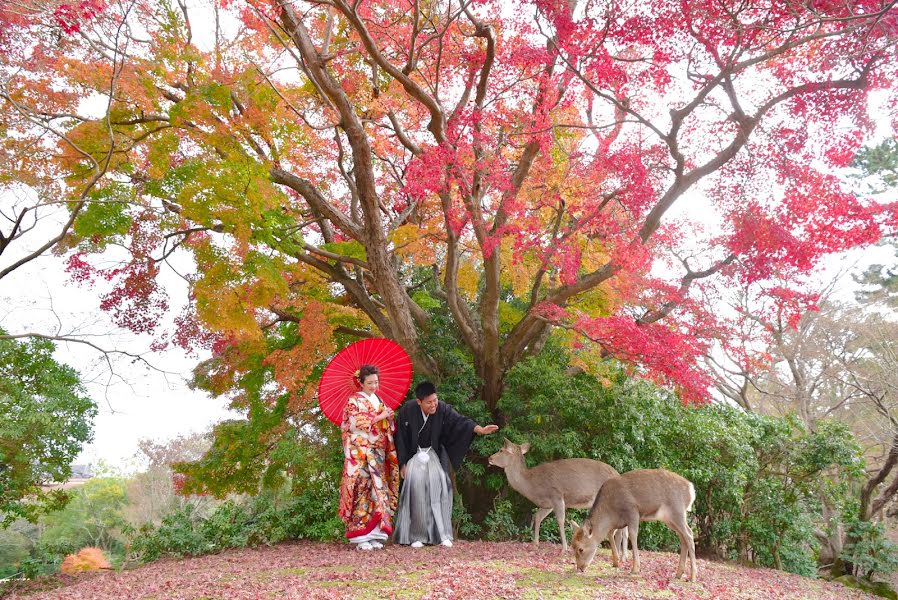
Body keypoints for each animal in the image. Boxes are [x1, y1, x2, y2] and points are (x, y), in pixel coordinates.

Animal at [486, 436, 628, 556]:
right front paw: (535, 544)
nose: (489, 458)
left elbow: (560, 520)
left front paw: (564, 548)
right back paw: (622, 555)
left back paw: (621, 554)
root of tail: (617, 474)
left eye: (501, 450)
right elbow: (537, 517)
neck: (533, 485)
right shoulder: (547, 504)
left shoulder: (557, 496)